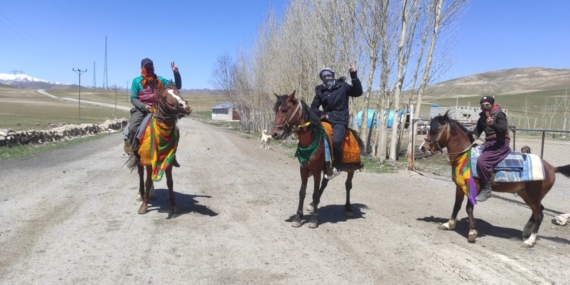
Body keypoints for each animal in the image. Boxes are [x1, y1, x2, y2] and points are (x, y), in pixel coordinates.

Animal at [123, 82, 191, 215]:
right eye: (164, 97)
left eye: (178, 91)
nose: (184, 105)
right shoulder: (148, 161)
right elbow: (148, 181)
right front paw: (144, 206)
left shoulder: (169, 160)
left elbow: (170, 182)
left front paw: (173, 205)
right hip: (139, 159)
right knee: (141, 175)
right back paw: (141, 194)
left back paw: (151, 194)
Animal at [268, 91, 362, 229]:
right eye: (276, 110)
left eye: (284, 110)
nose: (275, 134)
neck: (312, 139)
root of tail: (352, 131)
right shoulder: (304, 169)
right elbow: (302, 192)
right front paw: (298, 217)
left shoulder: (316, 171)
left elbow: (315, 193)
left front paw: (313, 219)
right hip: (328, 169)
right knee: (325, 183)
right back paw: (312, 205)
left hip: (351, 169)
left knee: (348, 185)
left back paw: (348, 208)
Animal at [418, 111, 568, 246]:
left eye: (435, 130)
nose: (423, 148)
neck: (465, 156)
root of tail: (551, 167)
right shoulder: (460, 187)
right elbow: (457, 205)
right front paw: (449, 224)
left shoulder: (474, 188)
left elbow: (469, 208)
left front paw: (472, 232)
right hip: (525, 194)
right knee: (537, 210)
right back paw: (526, 232)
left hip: (534, 195)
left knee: (539, 214)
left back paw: (530, 240)